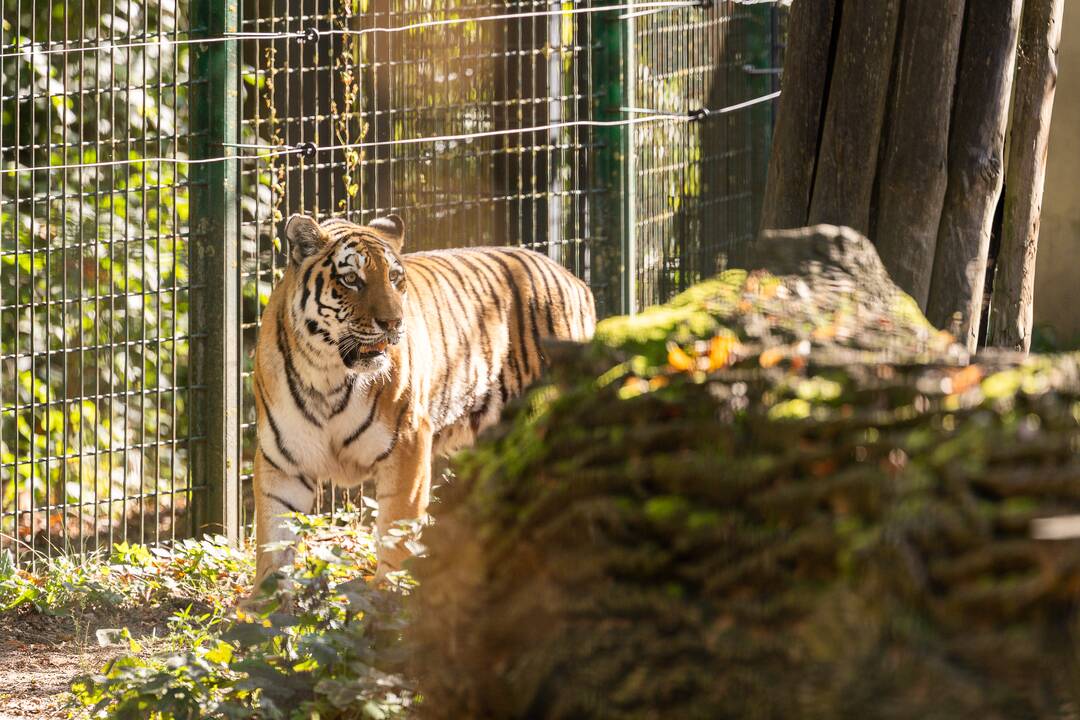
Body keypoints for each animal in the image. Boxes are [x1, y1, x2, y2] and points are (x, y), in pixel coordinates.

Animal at [249, 211, 596, 587]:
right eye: (351, 279)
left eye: (394, 277)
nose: (393, 323)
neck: (327, 374)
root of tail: (575, 280)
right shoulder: (282, 460)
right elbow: (274, 542)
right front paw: (267, 598)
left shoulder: (407, 442)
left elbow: (396, 532)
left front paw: (386, 595)